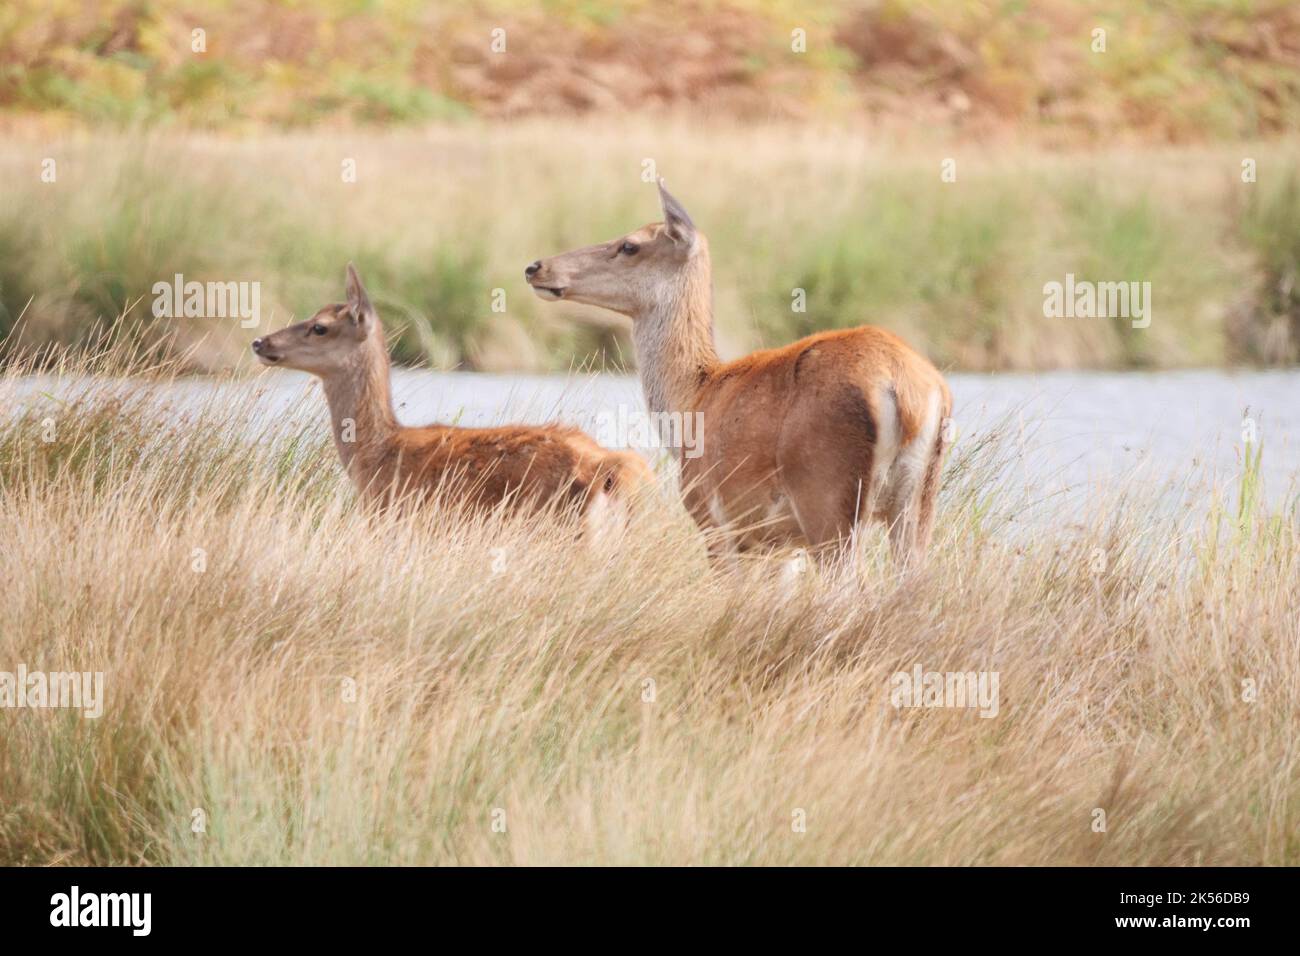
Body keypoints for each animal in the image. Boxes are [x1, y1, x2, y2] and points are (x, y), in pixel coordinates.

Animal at [525, 180, 952, 568]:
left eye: (630, 245)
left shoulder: (714, 522)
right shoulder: (780, 546)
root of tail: (906, 391)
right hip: (917, 503)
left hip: (829, 501)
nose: (536, 266)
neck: (689, 405)